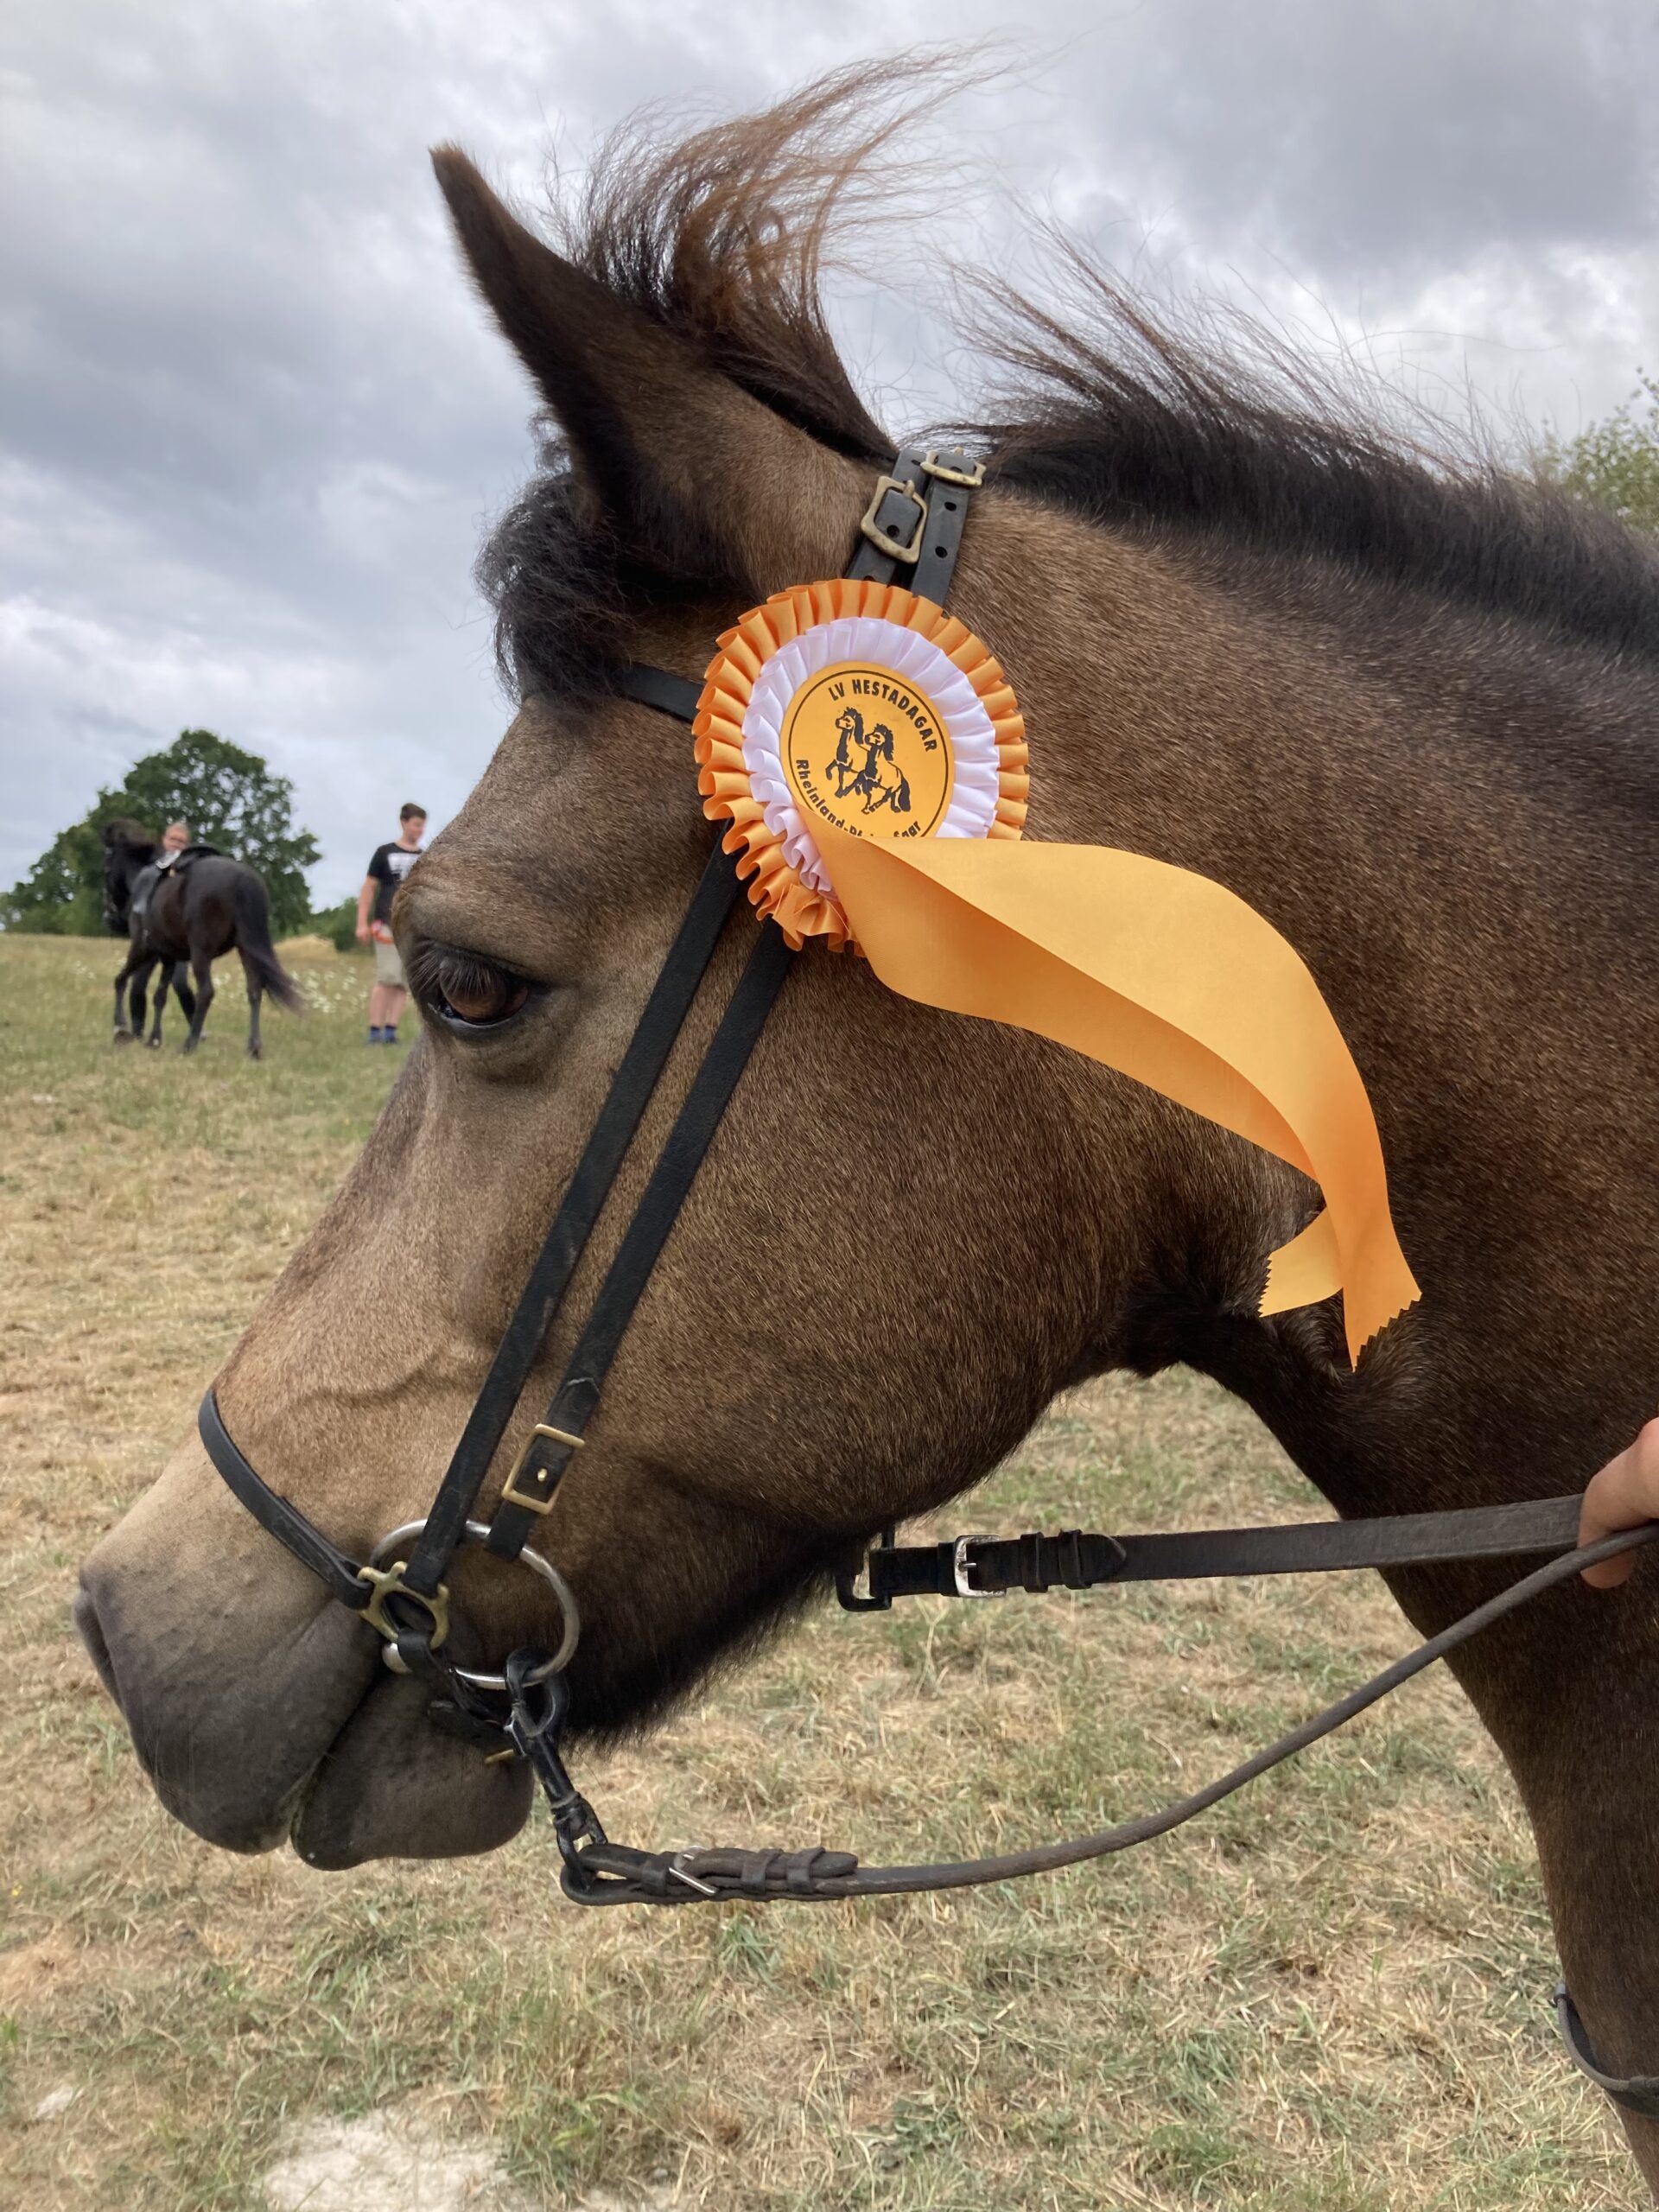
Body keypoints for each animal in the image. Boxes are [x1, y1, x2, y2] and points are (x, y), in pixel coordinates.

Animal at [104, 823, 302, 1061]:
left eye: (107, 867)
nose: (111, 918)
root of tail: (243, 878)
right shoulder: (168, 956)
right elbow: (160, 996)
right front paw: (154, 1039)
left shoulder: (142, 948)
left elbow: (120, 980)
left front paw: (120, 1029)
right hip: (246, 950)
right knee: (254, 990)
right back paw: (253, 1047)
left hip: (200, 953)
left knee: (206, 992)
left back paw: (190, 1043)